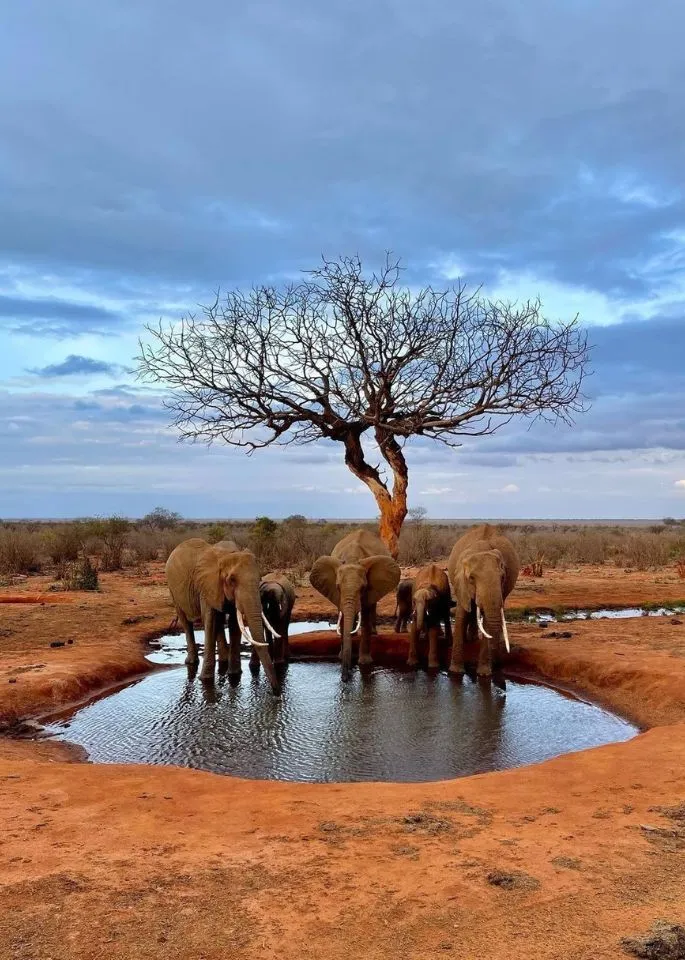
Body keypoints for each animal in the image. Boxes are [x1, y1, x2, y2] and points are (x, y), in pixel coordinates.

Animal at [165, 538, 280, 692]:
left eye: (260, 578)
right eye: (232, 580)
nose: (276, 692)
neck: (226, 555)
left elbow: (234, 624)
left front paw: (234, 675)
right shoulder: (206, 586)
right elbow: (210, 621)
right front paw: (205, 680)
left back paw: (223, 660)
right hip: (173, 589)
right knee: (186, 620)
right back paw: (192, 662)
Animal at [309, 528, 401, 681]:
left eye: (363, 588)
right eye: (338, 587)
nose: (345, 678)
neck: (352, 559)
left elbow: (365, 613)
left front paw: (364, 663)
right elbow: (342, 614)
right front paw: (341, 657)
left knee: (373, 605)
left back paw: (373, 632)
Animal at [446, 524, 519, 679]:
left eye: (502, 577)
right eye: (471, 578)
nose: (498, 664)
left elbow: (487, 620)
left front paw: (484, 674)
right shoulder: (461, 583)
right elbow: (461, 616)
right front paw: (456, 672)